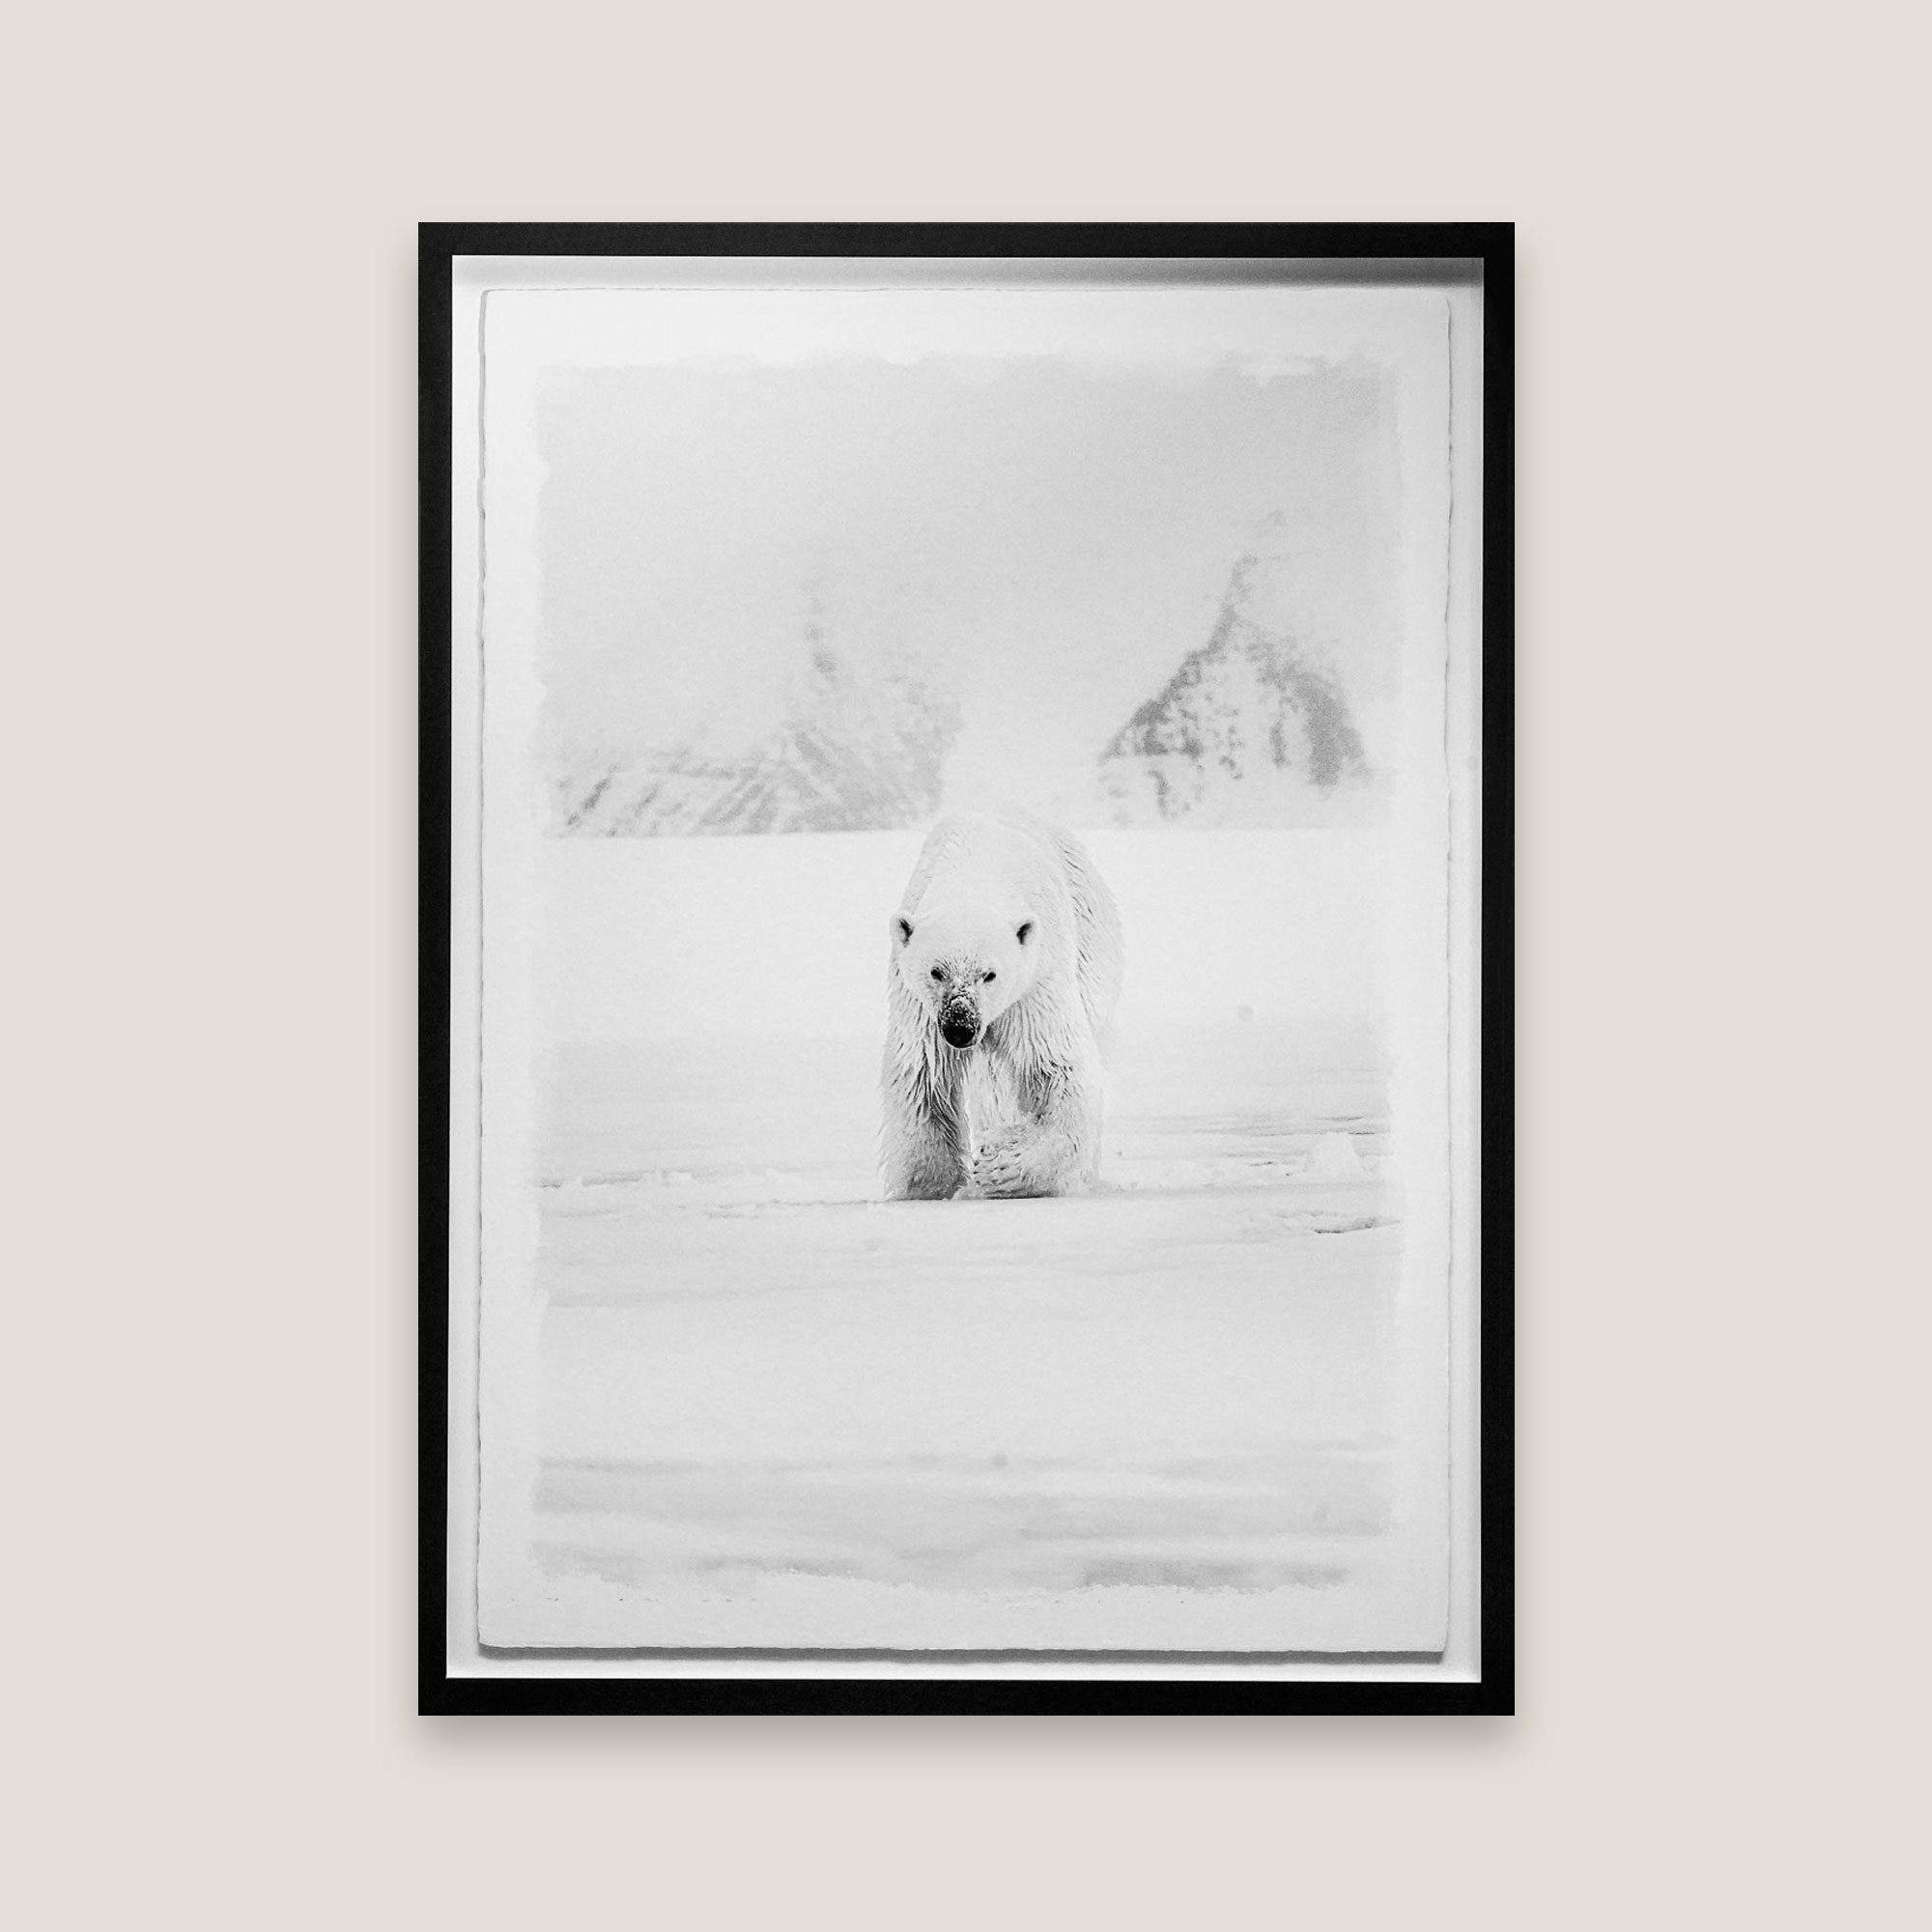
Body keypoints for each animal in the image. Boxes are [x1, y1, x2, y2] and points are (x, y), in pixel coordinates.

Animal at [885, 811, 1128, 1198]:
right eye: (936, 971)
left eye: (990, 974)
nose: (960, 1027)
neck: (977, 873)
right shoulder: (920, 1006)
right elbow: (923, 1076)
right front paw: (930, 1186)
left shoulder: (1034, 983)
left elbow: (1058, 1066)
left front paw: (1000, 1166)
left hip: (1091, 944)